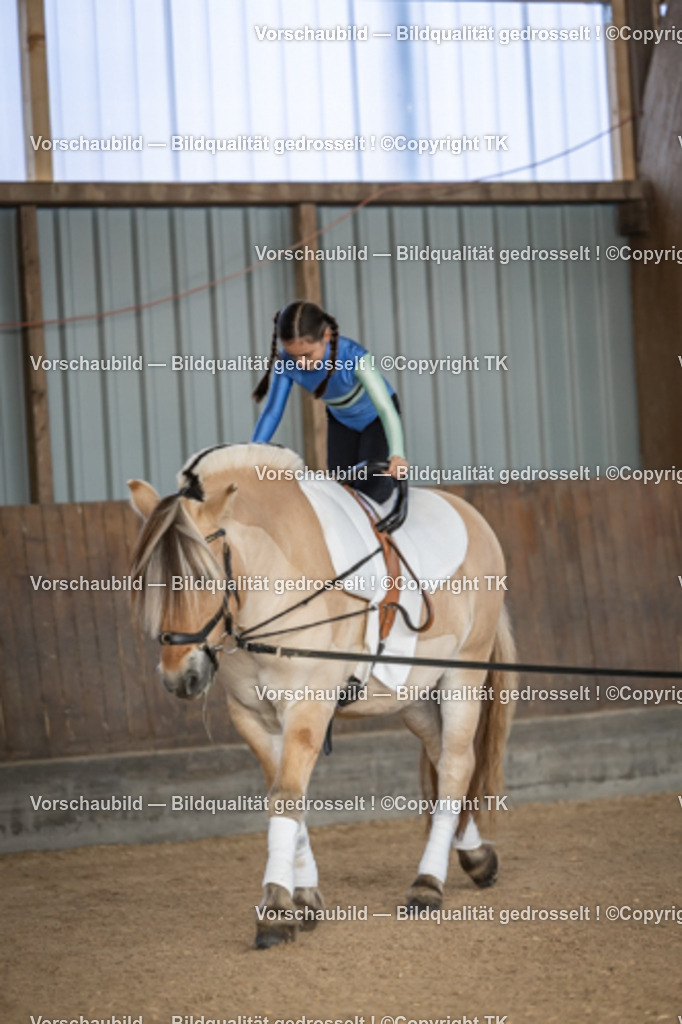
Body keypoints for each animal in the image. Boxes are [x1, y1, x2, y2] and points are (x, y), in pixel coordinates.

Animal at [128, 443, 517, 948]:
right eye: (148, 581)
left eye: (205, 578)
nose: (180, 679)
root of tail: (472, 515)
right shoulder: (252, 716)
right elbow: (285, 796)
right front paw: (305, 896)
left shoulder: (308, 706)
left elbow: (286, 795)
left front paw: (275, 910)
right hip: (412, 693)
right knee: (445, 754)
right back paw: (475, 858)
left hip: (462, 675)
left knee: (454, 764)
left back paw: (427, 884)